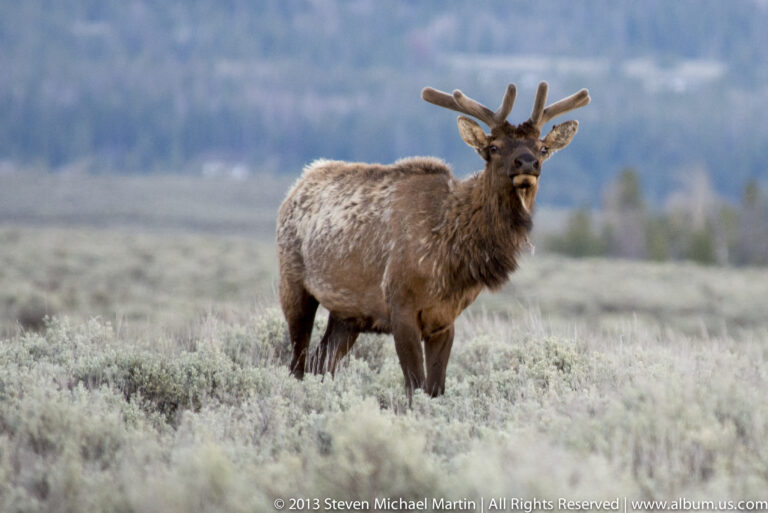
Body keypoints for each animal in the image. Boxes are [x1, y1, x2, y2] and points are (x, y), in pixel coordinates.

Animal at [276, 81, 590, 399]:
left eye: (543, 147)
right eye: (493, 147)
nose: (527, 162)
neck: (451, 256)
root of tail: (296, 186)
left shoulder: (445, 319)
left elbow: (436, 388)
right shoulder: (400, 306)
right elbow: (414, 386)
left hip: (347, 314)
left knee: (320, 362)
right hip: (293, 284)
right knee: (298, 362)